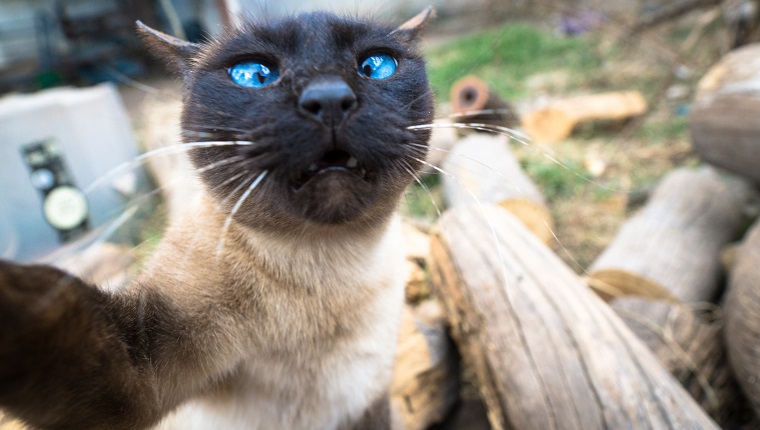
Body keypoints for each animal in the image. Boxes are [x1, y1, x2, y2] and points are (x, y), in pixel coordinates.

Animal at [0, 7, 434, 430]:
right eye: (253, 75)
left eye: (376, 66)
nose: (329, 98)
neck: (326, 269)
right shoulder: (141, 369)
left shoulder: (367, 404)